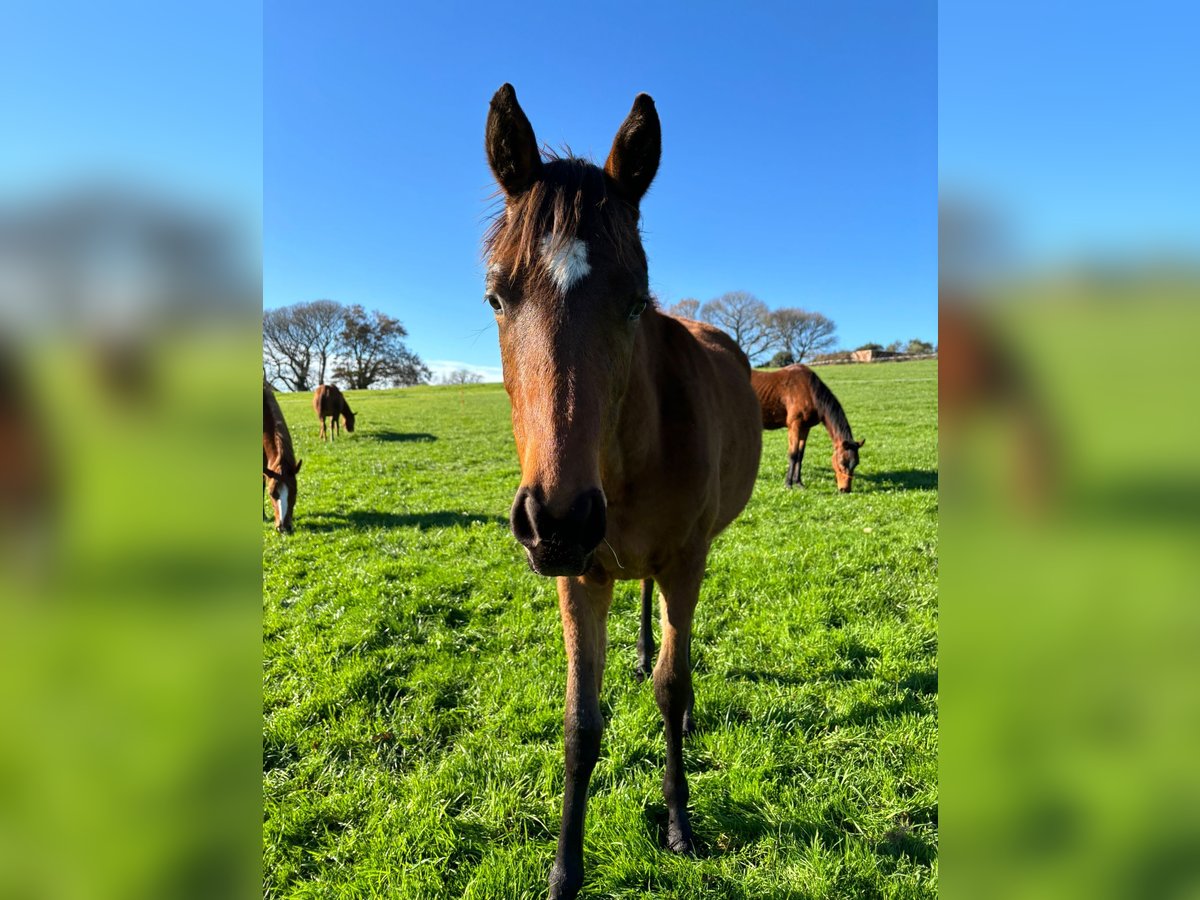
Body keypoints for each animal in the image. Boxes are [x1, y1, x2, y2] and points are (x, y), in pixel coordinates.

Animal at [484, 86, 758, 900]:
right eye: (497, 299)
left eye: (636, 302)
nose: (558, 520)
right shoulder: (581, 576)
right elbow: (581, 724)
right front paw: (563, 871)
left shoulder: (686, 560)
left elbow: (674, 688)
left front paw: (679, 823)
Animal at [748, 364, 864, 494]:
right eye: (842, 462)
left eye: (856, 463)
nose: (845, 489)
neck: (809, 390)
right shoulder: (794, 425)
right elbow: (793, 455)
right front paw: (788, 484)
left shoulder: (805, 427)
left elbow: (800, 455)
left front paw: (799, 483)